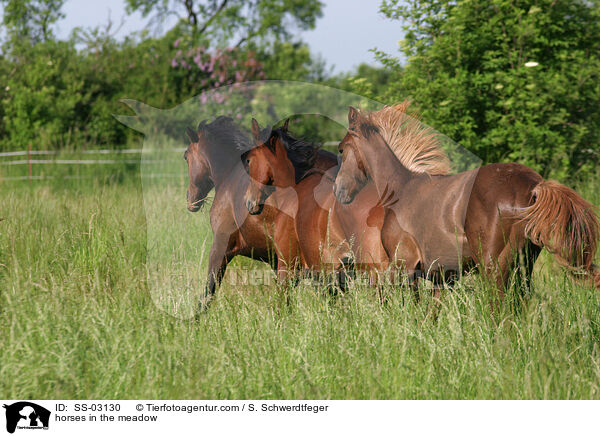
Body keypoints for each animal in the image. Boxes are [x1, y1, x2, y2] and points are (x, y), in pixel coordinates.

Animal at [332, 104, 600, 298]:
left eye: (342, 149)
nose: (338, 190)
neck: (402, 188)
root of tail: (533, 186)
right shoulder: (443, 277)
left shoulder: (403, 265)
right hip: (523, 268)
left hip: (495, 269)